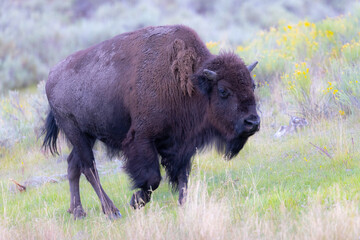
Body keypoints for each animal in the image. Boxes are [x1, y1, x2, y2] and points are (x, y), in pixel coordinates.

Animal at [43, 24, 258, 219]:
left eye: (253, 85)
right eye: (223, 90)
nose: (253, 122)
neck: (189, 82)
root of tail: (50, 77)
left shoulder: (182, 144)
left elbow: (183, 176)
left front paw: (183, 204)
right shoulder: (142, 139)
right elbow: (153, 178)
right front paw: (136, 201)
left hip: (87, 135)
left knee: (73, 165)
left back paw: (78, 212)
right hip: (75, 132)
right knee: (89, 168)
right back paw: (112, 211)